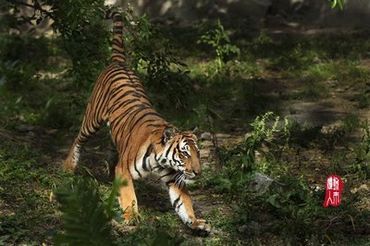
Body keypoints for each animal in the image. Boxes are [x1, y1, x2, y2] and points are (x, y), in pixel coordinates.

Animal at [63, 11, 211, 234]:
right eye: (184, 153)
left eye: (198, 153)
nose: (197, 172)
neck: (160, 159)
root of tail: (119, 62)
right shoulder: (125, 171)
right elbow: (129, 196)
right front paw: (131, 218)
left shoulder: (173, 179)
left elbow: (184, 203)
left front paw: (195, 222)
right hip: (92, 119)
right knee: (78, 140)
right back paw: (68, 166)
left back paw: (109, 169)